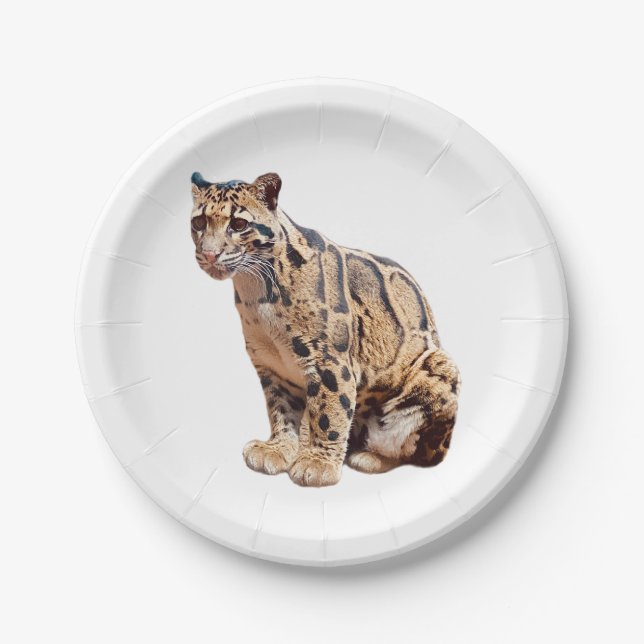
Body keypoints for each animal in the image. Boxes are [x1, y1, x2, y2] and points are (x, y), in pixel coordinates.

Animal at [190, 171, 460, 487]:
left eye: (238, 224)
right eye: (199, 222)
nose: (209, 254)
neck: (255, 291)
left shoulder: (329, 361)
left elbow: (329, 413)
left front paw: (318, 464)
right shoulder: (271, 366)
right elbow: (281, 410)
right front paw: (279, 448)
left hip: (440, 367)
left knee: (422, 453)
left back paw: (371, 456)